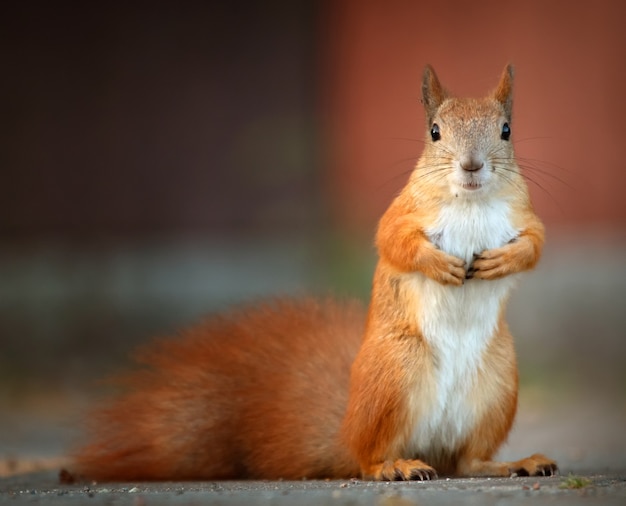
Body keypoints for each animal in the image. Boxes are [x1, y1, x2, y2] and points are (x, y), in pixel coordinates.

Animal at [69, 65, 556, 480]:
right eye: (434, 132)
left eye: (506, 131)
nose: (471, 165)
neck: (470, 200)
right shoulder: (400, 213)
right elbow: (393, 241)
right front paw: (439, 263)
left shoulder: (525, 215)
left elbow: (534, 245)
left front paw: (503, 261)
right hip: (395, 377)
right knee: (370, 459)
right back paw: (394, 466)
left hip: (497, 387)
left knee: (469, 461)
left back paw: (514, 463)